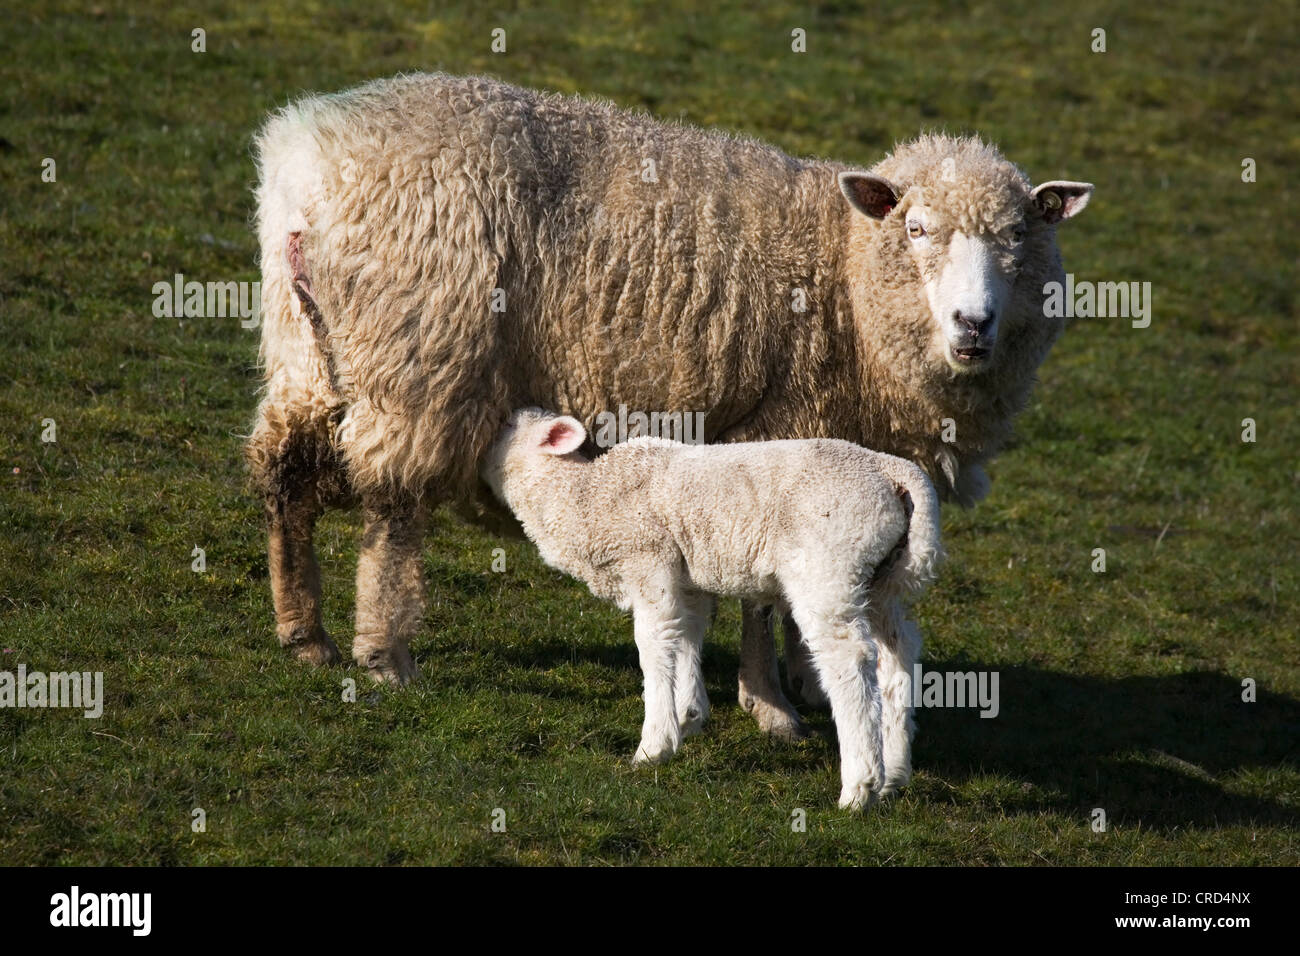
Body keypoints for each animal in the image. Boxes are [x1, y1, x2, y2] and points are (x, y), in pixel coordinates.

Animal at [241, 72, 1086, 738]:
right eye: (914, 228)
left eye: (1019, 236)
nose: (973, 325)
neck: (842, 274)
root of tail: (304, 156)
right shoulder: (778, 429)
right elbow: (764, 599)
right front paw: (770, 705)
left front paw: (802, 683)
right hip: (418, 354)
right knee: (392, 509)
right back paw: (384, 653)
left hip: (305, 350)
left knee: (285, 475)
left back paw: (302, 632)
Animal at [483, 408, 941, 811]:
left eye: (504, 425)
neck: (583, 496)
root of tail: (894, 473)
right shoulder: (686, 578)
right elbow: (686, 635)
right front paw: (688, 716)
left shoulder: (649, 560)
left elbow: (653, 644)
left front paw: (654, 746)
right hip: (881, 579)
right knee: (898, 653)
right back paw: (894, 775)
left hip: (829, 565)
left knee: (849, 658)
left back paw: (859, 788)